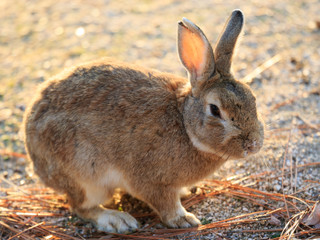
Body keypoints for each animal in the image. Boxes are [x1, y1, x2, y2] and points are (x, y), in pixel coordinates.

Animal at [23, 10, 264, 233]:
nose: (254, 145)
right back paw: (116, 220)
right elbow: (165, 204)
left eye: (253, 98)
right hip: (85, 175)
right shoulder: (152, 181)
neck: (184, 124)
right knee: (82, 207)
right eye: (215, 110)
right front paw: (184, 219)